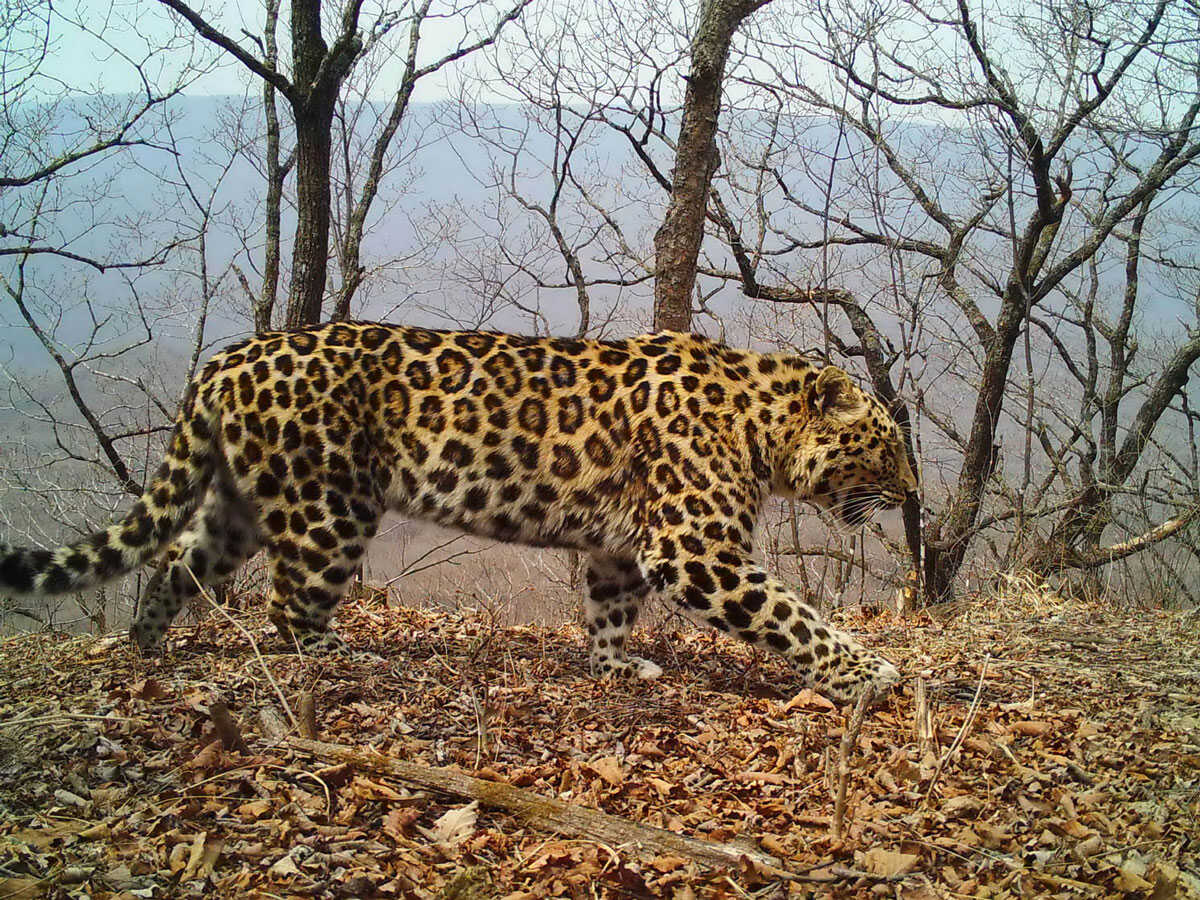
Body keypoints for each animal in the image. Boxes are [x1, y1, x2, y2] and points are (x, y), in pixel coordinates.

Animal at [2, 324, 916, 705]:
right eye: (885, 444)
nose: (911, 493)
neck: (761, 424)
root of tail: (228, 357)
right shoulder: (696, 549)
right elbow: (793, 616)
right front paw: (866, 673)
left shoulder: (625, 548)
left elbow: (610, 609)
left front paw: (617, 667)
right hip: (328, 505)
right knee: (289, 607)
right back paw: (343, 658)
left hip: (239, 500)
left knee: (174, 561)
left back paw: (145, 647)